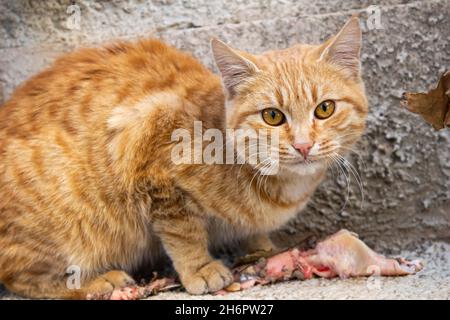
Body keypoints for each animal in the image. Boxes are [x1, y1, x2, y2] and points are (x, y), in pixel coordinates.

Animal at [0, 16, 366, 298]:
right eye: (273, 116)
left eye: (325, 109)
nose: (303, 145)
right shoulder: (152, 160)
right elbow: (183, 233)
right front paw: (199, 268)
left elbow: (251, 231)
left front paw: (262, 246)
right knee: (23, 279)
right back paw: (97, 282)